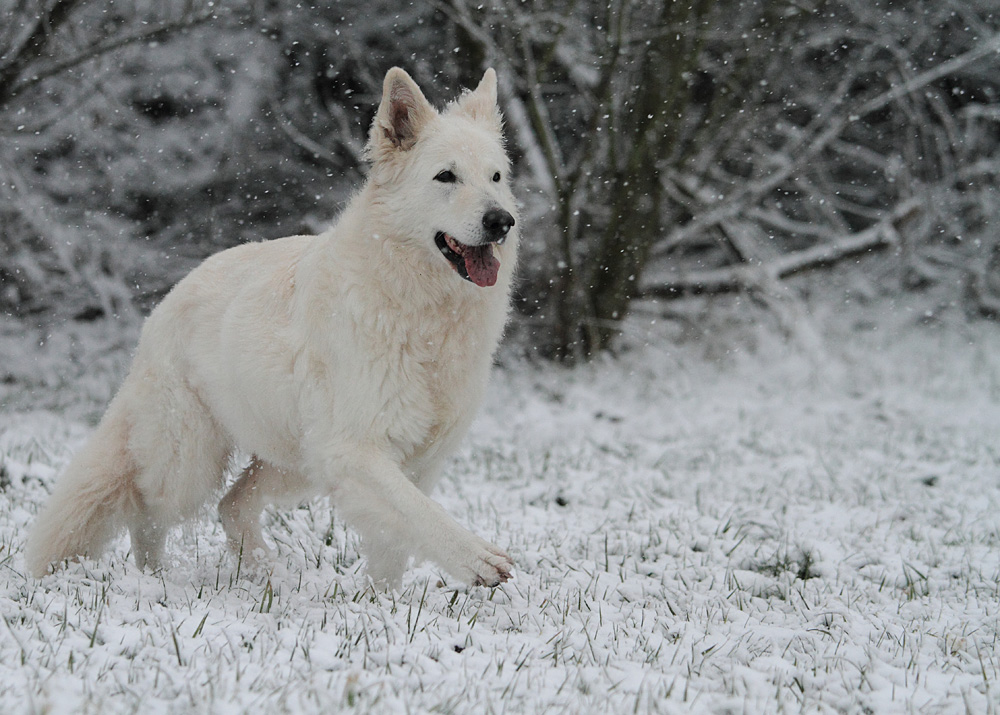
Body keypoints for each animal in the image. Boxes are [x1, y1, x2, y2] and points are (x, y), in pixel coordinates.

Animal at [26, 67, 519, 588]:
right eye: (446, 176)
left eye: (495, 177)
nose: (501, 221)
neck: (422, 311)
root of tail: (168, 300)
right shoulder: (354, 450)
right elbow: (421, 514)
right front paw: (476, 559)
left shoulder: (416, 461)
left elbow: (398, 539)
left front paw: (384, 601)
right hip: (193, 465)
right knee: (147, 508)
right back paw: (156, 580)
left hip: (297, 461)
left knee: (231, 503)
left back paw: (262, 572)